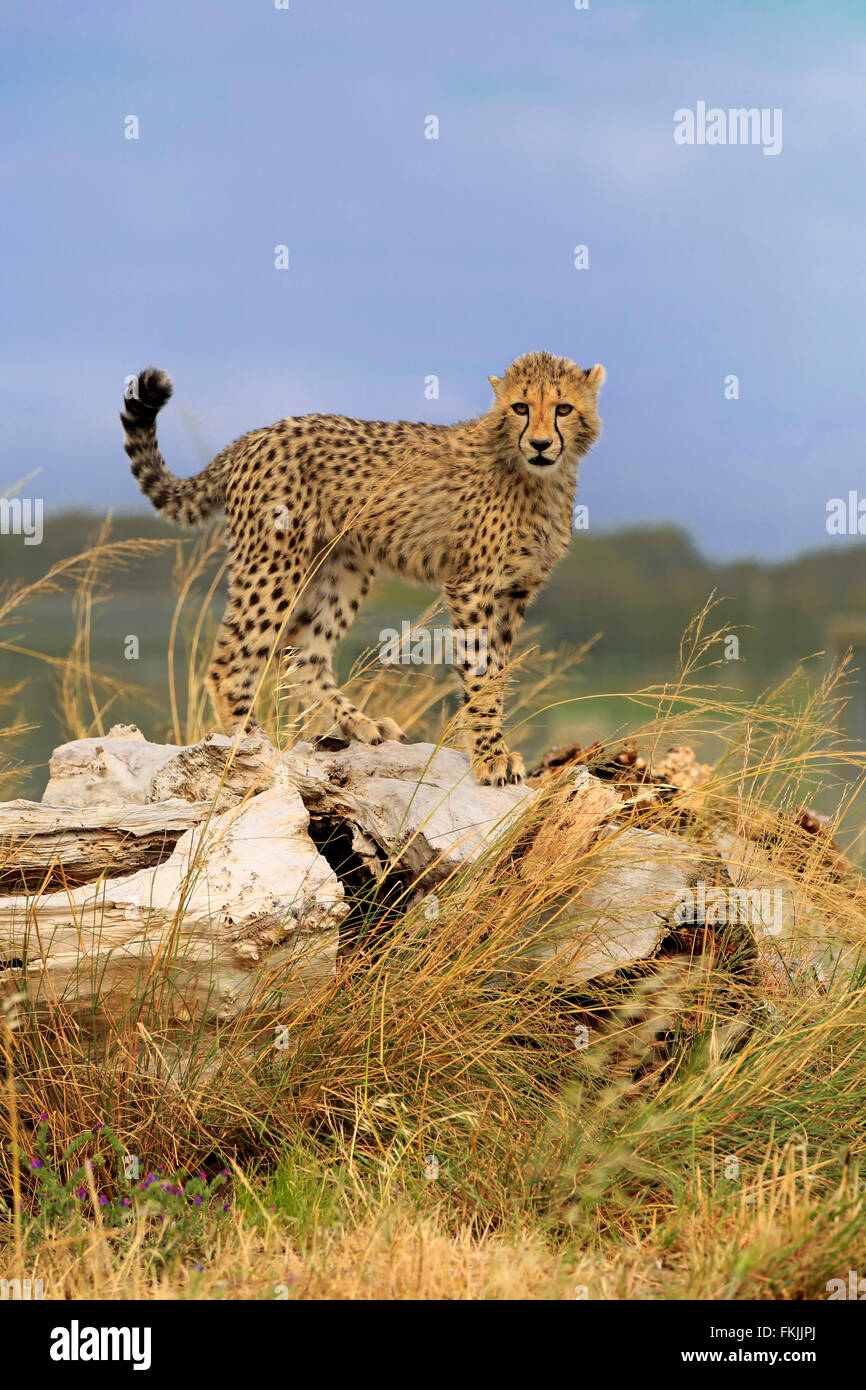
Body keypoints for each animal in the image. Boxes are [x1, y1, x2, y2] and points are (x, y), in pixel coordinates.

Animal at [120, 351, 605, 785]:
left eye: (563, 408)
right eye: (521, 408)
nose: (540, 444)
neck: (539, 477)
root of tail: (255, 434)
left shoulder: (515, 590)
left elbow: (497, 673)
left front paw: (492, 748)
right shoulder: (474, 586)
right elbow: (480, 676)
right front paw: (491, 759)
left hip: (342, 566)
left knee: (304, 656)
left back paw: (358, 723)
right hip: (274, 563)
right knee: (232, 662)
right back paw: (249, 747)